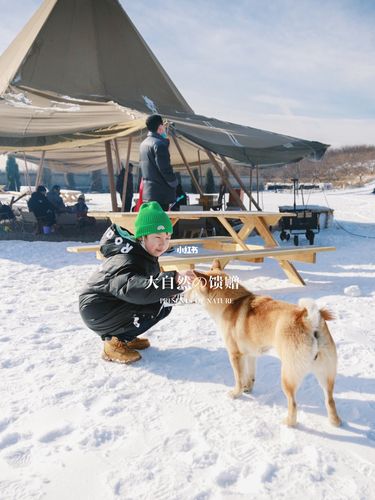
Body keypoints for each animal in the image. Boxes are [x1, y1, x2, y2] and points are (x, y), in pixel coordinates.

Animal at [187, 260, 342, 428]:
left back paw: (288, 423)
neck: (231, 302)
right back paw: (335, 422)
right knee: (330, 400)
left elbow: (238, 378)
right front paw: (248, 388)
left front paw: (236, 393)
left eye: (192, 286)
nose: (182, 294)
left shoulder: (235, 355)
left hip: (288, 376)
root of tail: (309, 320)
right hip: (326, 375)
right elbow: (250, 375)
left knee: (293, 403)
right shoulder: (250, 354)